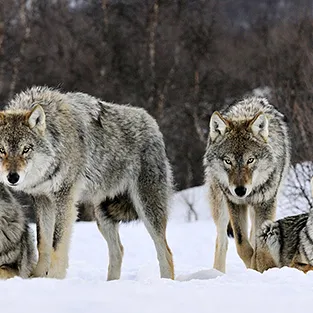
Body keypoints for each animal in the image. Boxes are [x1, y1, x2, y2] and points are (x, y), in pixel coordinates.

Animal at [0, 86, 173, 280]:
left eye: (26, 149)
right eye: (2, 150)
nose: (12, 177)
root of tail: (152, 122)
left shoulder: (64, 199)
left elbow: (57, 244)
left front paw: (54, 278)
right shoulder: (42, 199)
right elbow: (42, 243)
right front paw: (37, 277)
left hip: (147, 208)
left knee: (165, 252)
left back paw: (166, 282)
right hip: (102, 215)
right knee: (118, 251)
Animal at [202, 96, 290, 272]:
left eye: (250, 160)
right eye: (228, 161)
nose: (240, 191)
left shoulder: (266, 203)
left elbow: (260, 247)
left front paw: (261, 268)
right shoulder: (234, 203)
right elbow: (242, 245)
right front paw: (252, 266)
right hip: (220, 207)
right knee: (222, 241)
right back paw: (217, 273)